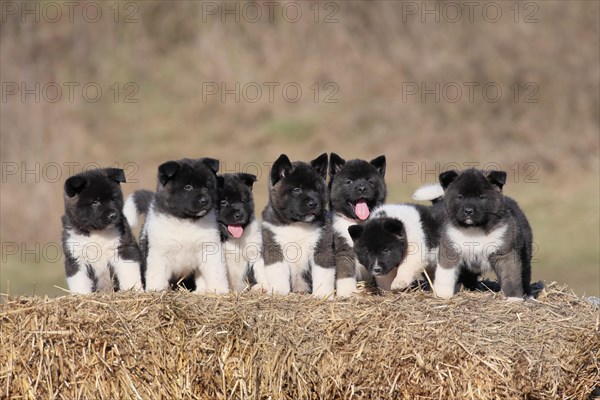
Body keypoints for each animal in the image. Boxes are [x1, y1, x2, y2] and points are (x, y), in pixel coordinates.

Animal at [125, 159, 229, 294]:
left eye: (207, 185)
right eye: (188, 187)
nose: (205, 200)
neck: (185, 220)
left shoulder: (209, 249)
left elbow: (216, 272)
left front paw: (220, 291)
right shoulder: (159, 253)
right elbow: (157, 275)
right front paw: (156, 290)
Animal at [262, 153, 338, 296]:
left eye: (317, 190)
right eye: (297, 190)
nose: (314, 203)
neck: (297, 225)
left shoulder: (322, 248)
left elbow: (323, 273)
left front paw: (322, 294)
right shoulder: (274, 247)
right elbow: (277, 272)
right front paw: (279, 292)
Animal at [326, 154, 386, 296]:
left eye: (370, 181)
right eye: (349, 182)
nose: (362, 188)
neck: (358, 222)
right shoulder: (343, 248)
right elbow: (345, 271)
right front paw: (347, 292)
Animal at [420, 169, 532, 300]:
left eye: (481, 197)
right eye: (460, 196)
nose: (468, 211)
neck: (474, 229)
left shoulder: (505, 253)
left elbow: (511, 277)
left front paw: (514, 298)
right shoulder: (450, 249)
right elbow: (445, 273)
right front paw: (443, 294)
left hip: (525, 254)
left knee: (525, 275)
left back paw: (529, 295)